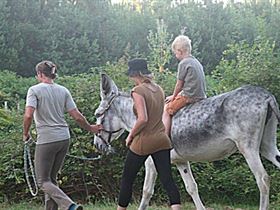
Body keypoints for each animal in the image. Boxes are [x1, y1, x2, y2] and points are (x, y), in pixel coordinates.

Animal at [93, 73, 280, 209]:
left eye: (97, 114)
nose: (97, 144)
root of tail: (266, 96)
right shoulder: (181, 162)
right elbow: (192, 187)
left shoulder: (150, 162)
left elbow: (147, 191)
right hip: (267, 147)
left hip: (248, 148)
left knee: (263, 179)